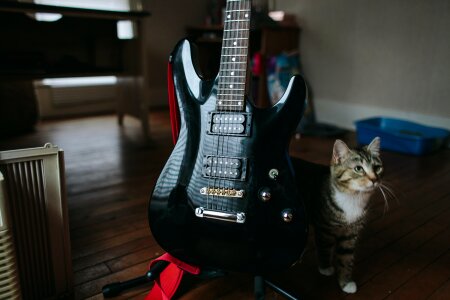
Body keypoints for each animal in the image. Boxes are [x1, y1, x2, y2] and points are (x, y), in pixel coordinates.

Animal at [292, 138, 384, 292]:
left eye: (377, 168)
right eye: (358, 169)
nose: (374, 180)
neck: (353, 198)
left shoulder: (351, 234)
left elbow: (346, 258)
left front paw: (345, 283)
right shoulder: (324, 228)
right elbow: (325, 247)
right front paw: (325, 268)